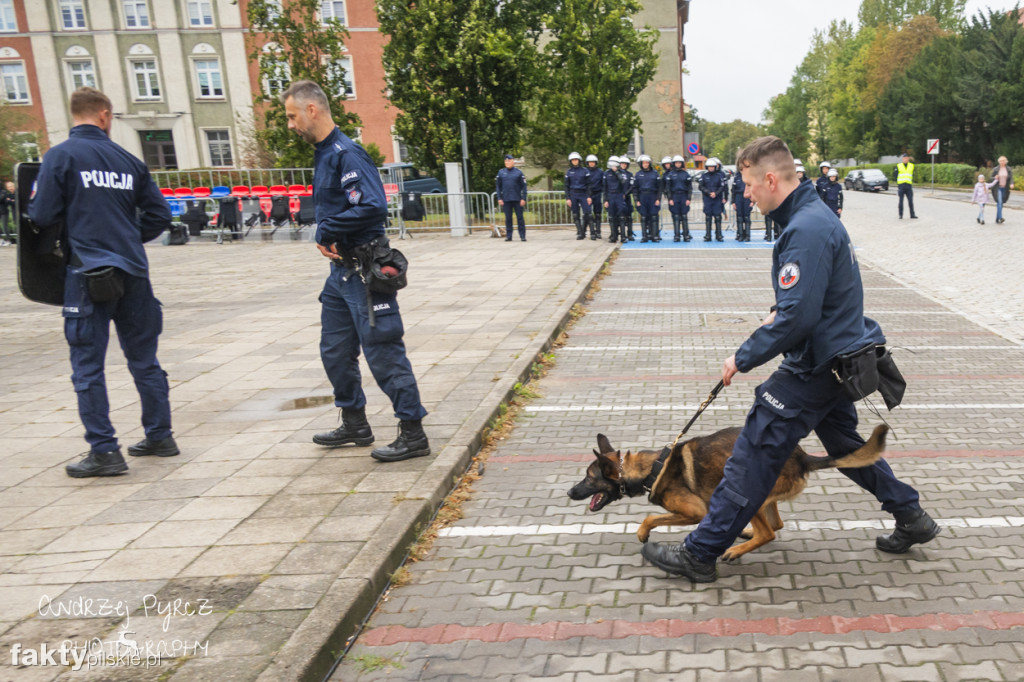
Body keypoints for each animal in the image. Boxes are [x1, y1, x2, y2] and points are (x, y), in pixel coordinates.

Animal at [569, 425, 888, 557]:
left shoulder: (695, 512)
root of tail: (801, 456)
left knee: (769, 532)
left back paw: (735, 550)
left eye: (588, 478)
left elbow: (650, 518)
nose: (569, 493)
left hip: (749, 491)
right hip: (764, 498)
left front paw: (642, 533)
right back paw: (743, 534)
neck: (652, 467)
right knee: (775, 525)